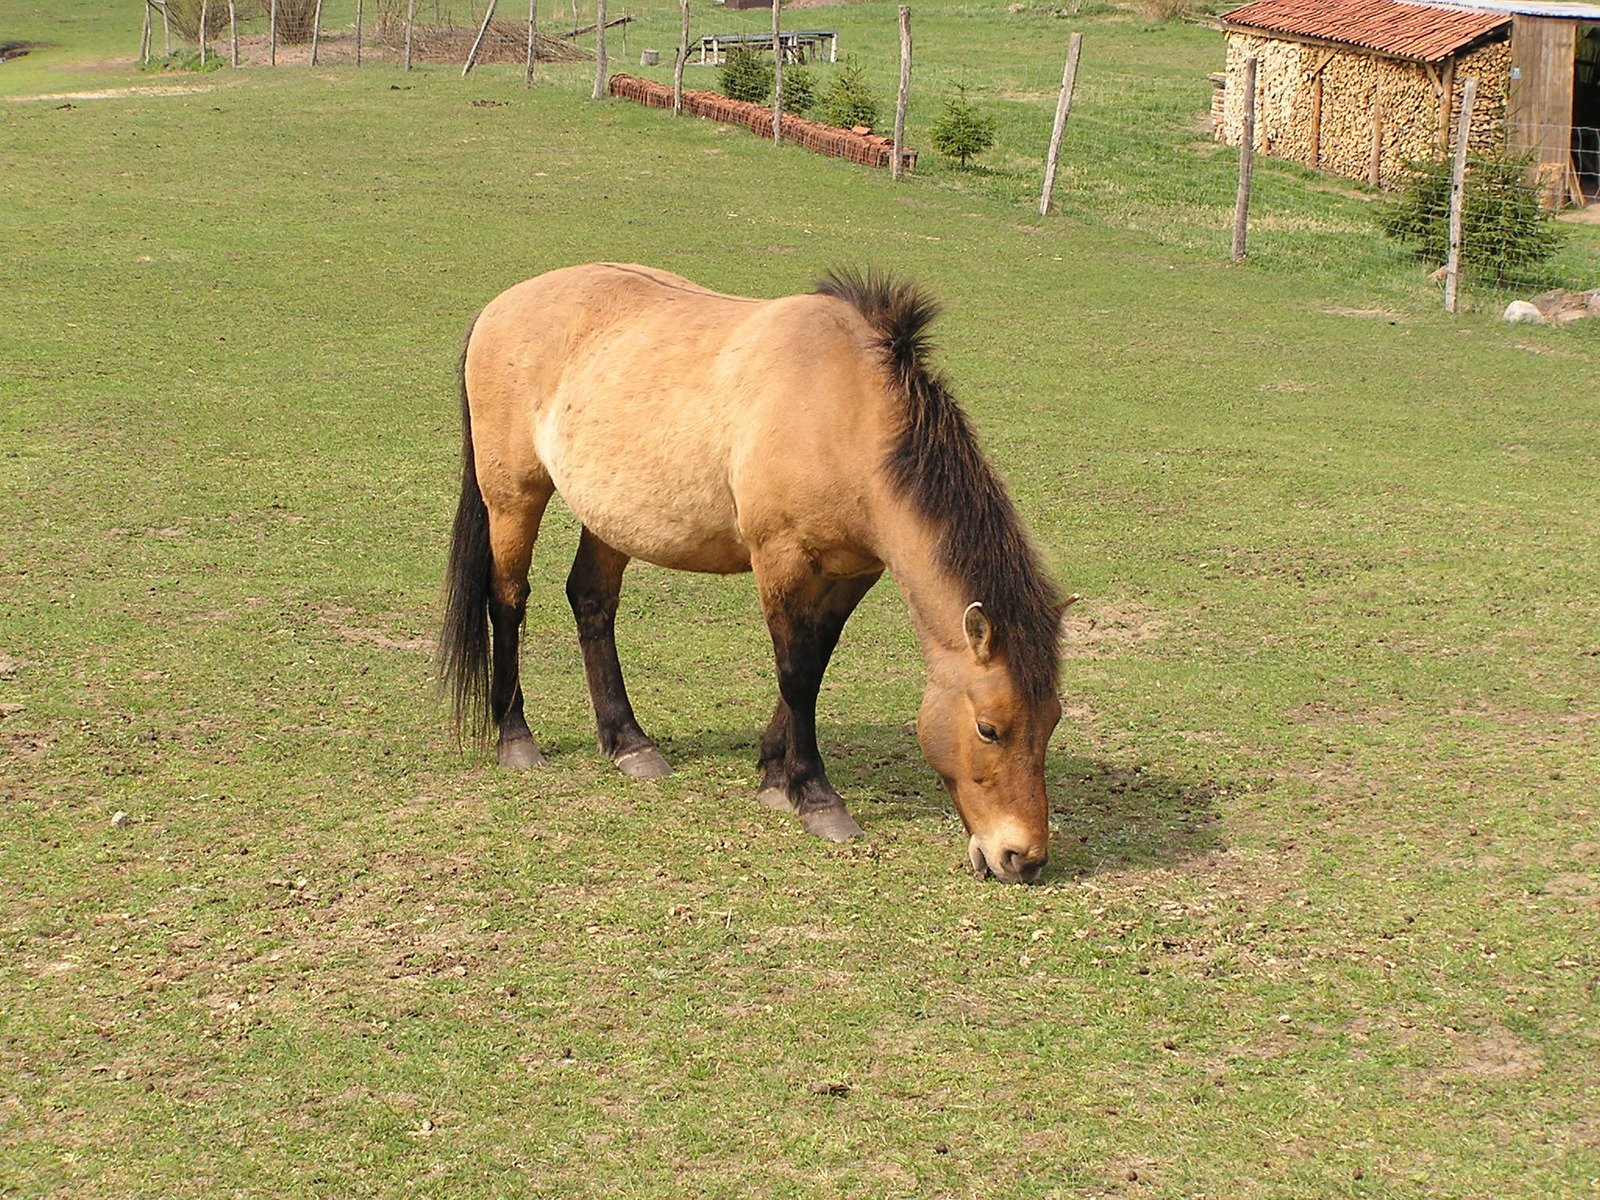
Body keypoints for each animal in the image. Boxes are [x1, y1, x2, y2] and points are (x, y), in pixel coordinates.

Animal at [438, 265, 1062, 883]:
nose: (1023, 859)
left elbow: (815, 663)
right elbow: (797, 673)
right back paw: (516, 737)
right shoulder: (780, 560)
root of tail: (500, 306)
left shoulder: (853, 572)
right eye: (989, 728)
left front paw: (775, 774)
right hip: (513, 496)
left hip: (611, 515)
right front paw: (815, 797)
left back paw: (628, 743)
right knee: (507, 598)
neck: (843, 408)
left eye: (1052, 720)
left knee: (591, 601)